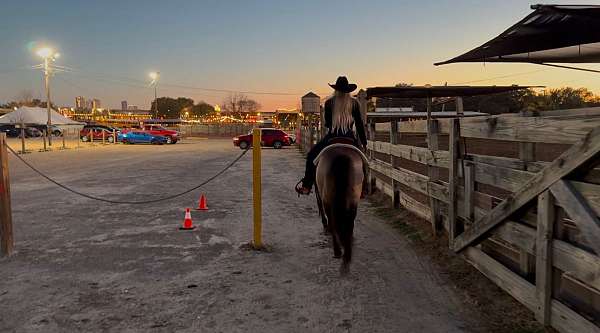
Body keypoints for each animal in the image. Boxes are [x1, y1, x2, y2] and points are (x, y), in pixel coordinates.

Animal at [314, 139, 366, 274]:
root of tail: (342, 156)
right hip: (353, 201)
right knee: (349, 222)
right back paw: (347, 254)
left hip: (328, 200)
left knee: (334, 222)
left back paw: (338, 251)